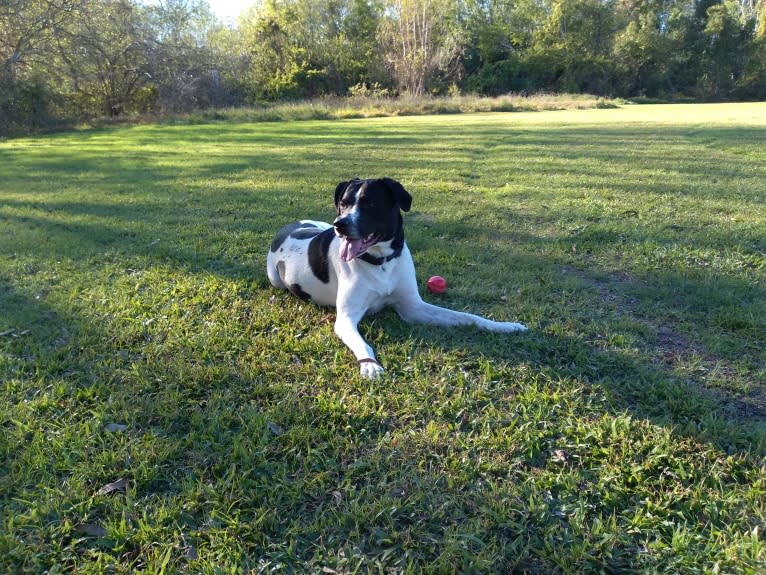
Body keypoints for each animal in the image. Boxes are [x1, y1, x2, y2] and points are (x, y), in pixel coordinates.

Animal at [266, 178, 528, 380]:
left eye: (370, 203)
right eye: (344, 203)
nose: (339, 224)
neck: (381, 263)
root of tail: (289, 227)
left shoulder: (412, 307)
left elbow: (466, 317)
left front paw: (505, 326)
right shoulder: (346, 319)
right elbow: (362, 342)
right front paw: (370, 364)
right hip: (275, 276)